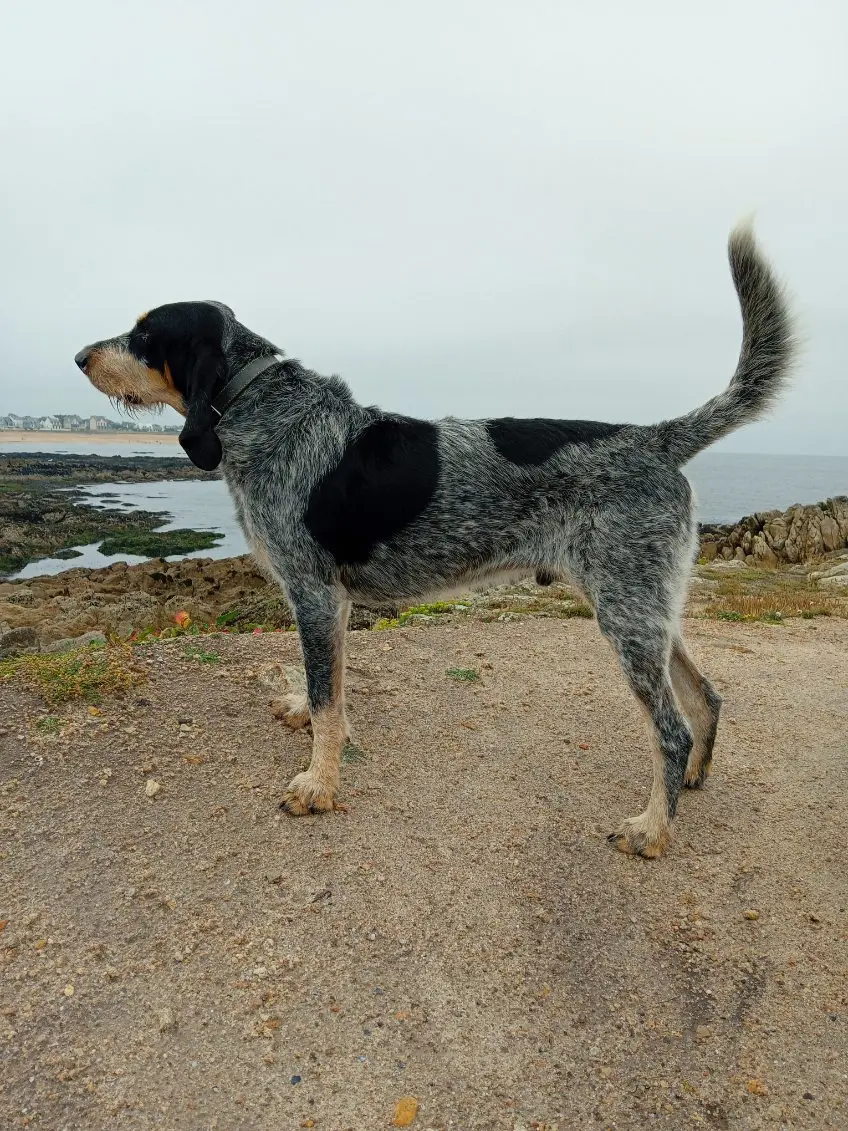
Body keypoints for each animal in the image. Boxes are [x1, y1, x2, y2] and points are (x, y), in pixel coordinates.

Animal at [74, 222, 795, 855]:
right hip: (649, 610)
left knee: (670, 731)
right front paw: (312, 731)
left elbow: (327, 698)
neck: (264, 408)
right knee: (706, 697)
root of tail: (655, 438)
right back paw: (693, 781)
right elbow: (329, 690)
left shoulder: (312, 592)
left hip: (627, 615)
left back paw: (652, 830)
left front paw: (318, 785)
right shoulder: (332, 602)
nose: (79, 356)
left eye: (145, 333)